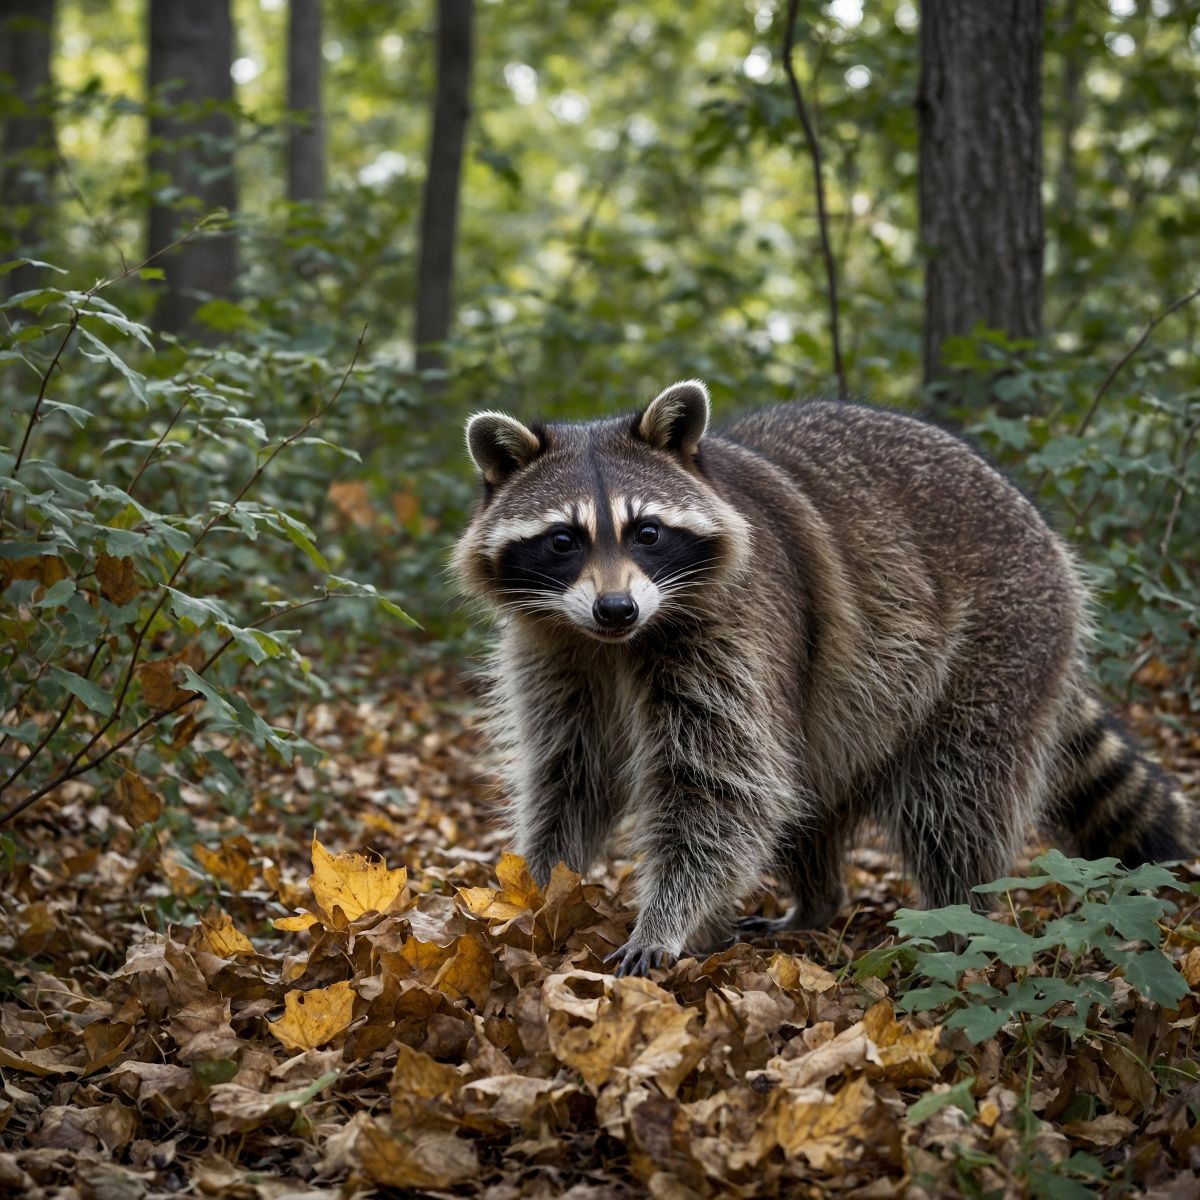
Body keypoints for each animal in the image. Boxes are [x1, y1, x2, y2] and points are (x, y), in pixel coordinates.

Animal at [453, 381, 1196, 975]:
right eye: (563, 540)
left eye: (647, 533)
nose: (616, 607)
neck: (617, 644)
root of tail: (1033, 518)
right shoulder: (557, 651)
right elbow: (569, 773)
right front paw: (535, 890)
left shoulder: (742, 624)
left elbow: (718, 789)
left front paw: (666, 920)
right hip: (841, 708)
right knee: (806, 794)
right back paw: (816, 903)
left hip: (1004, 637)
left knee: (957, 792)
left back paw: (957, 914)